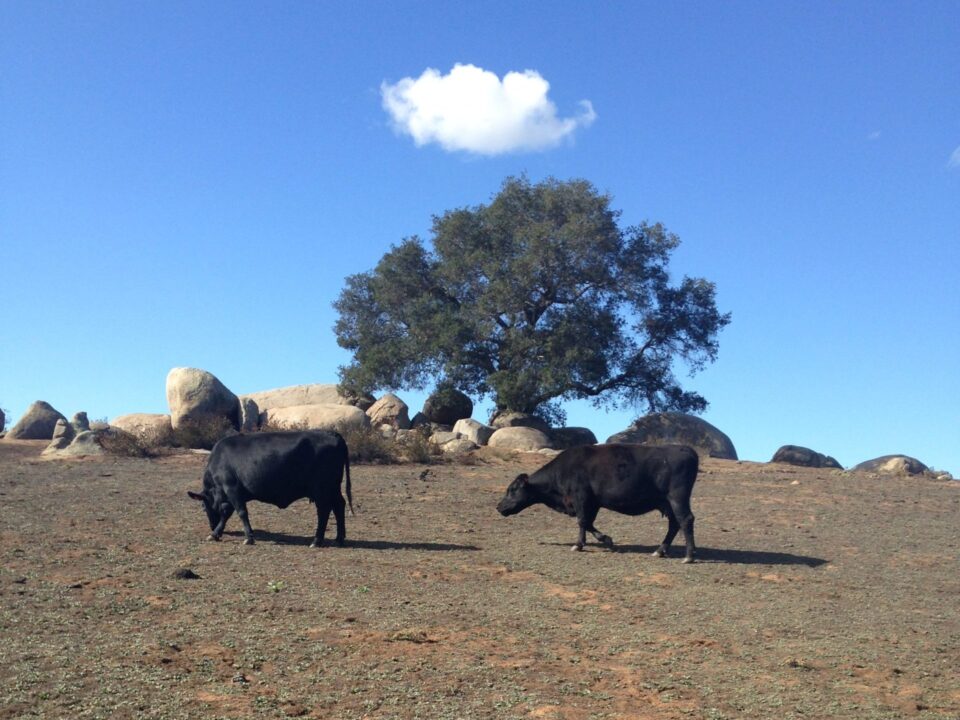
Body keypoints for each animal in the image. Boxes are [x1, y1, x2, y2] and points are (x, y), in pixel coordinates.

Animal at [187, 430, 353, 547]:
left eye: (203, 507)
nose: (211, 526)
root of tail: (332, 433)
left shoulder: (232, 489)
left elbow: (241, 512)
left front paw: (248, 538)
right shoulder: (231, 495)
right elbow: (227, 514)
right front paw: (215, 533)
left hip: (322, 489)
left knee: (324, 511)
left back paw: (317, 540)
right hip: (333, 488)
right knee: (339, 505)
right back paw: (339, 539)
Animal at [496, 444, 699, 562]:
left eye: (512, 489)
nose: (499, 507)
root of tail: (685, 449)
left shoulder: (581, 498)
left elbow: (582, 522)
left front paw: (582, 544)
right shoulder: (593, 503)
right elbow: (588, 523)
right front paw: (602, 540)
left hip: (677, 498)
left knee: (686, 520)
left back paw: (689, 556)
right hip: (667, 503)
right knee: (674, 524)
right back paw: (660, 550)